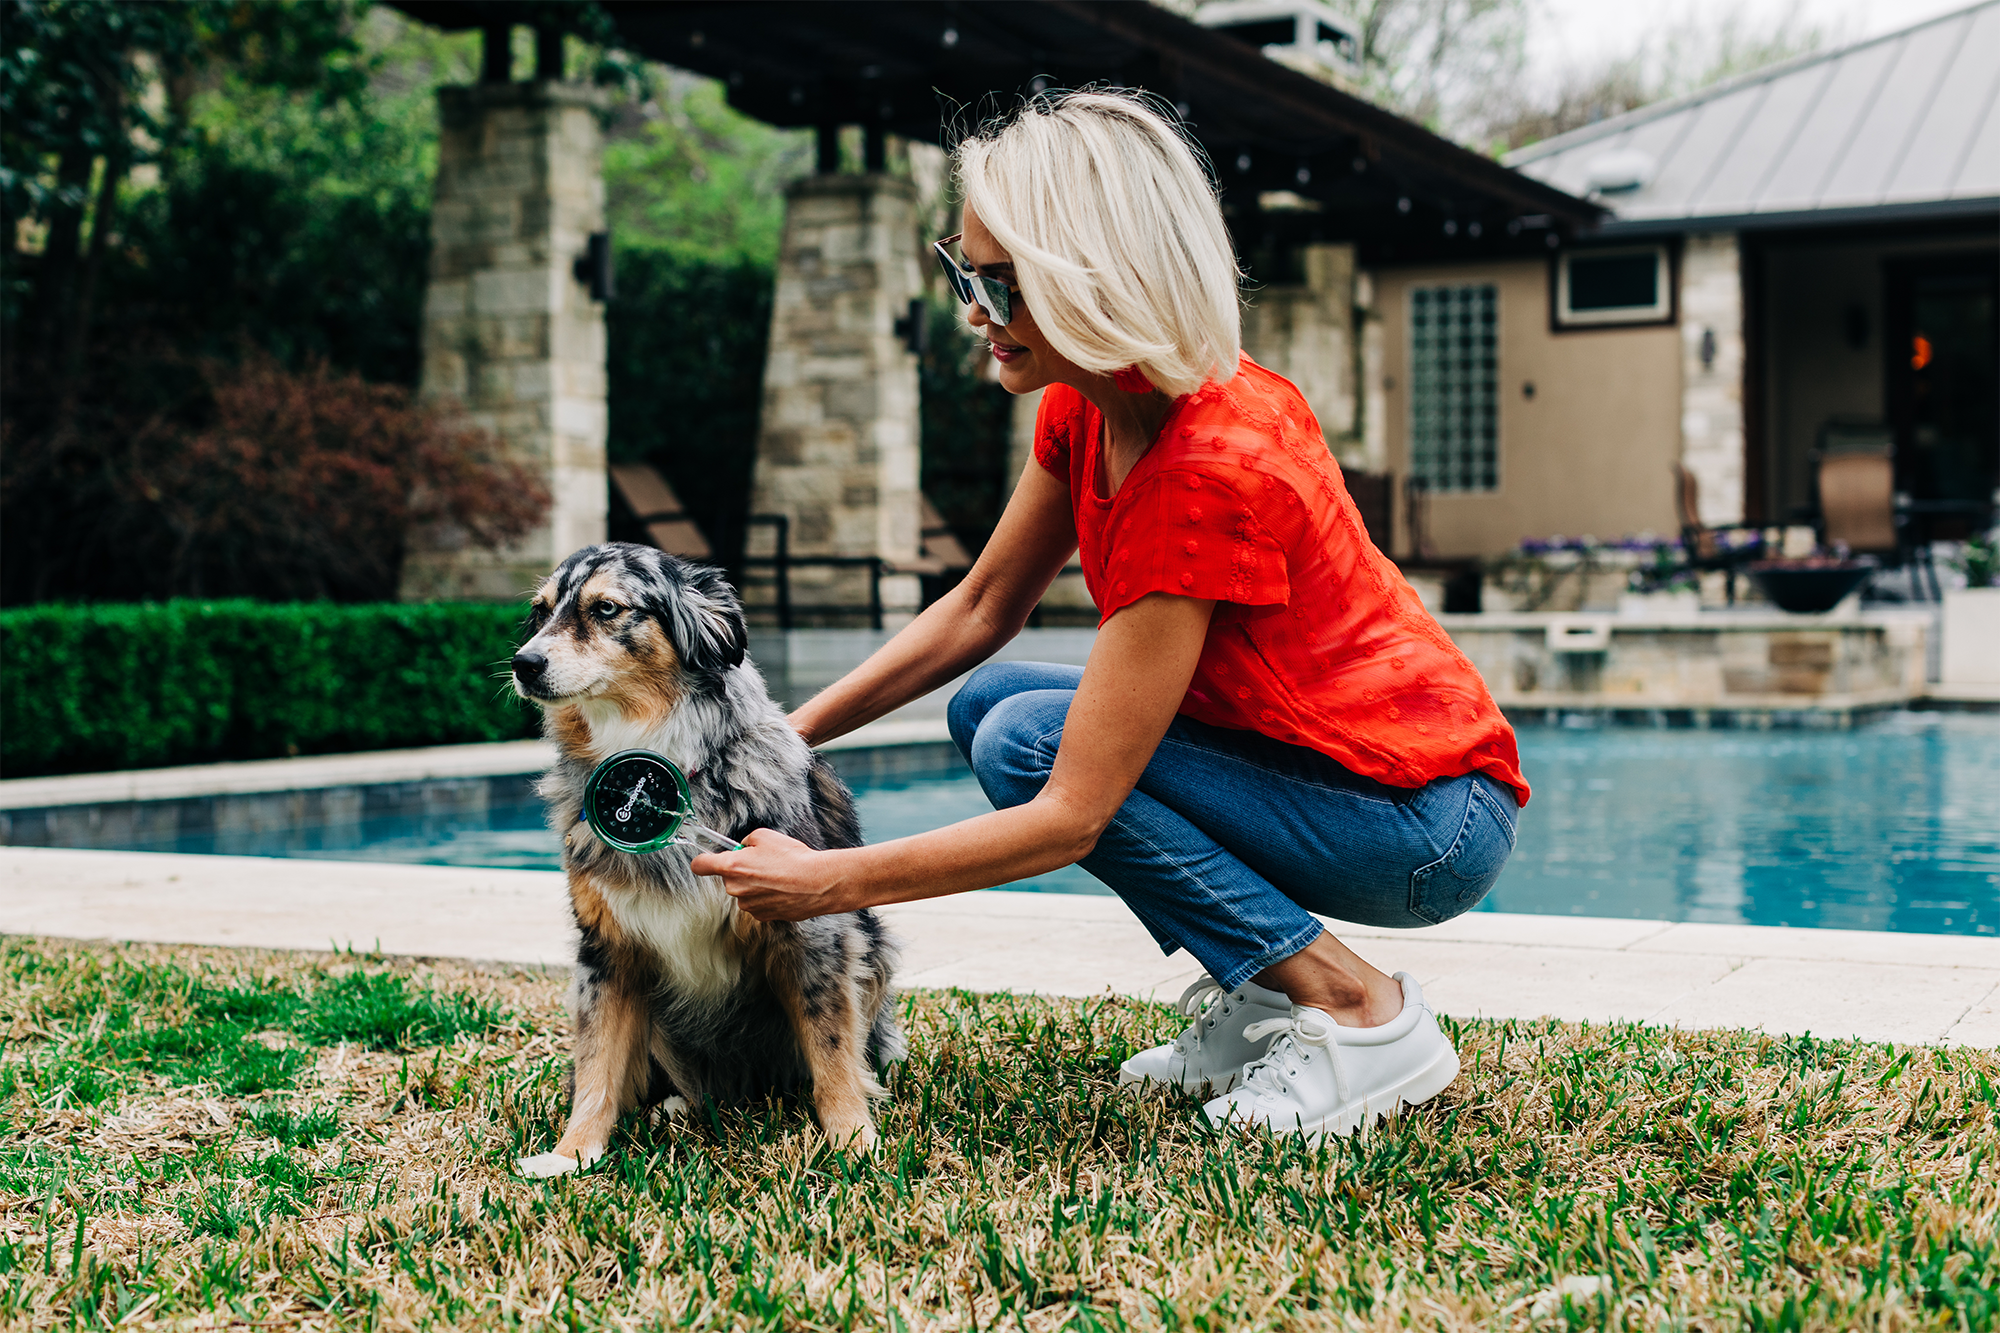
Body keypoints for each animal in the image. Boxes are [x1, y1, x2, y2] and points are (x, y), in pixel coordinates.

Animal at [508, 540, 900, 1176]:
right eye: (540, 611)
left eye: (606, 608)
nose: (524, 663)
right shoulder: (607, 950)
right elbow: (597, 1065)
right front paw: (573, 1154)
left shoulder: (812, 930)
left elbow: (831, 1050)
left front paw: (851, 1140)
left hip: (876, 947)